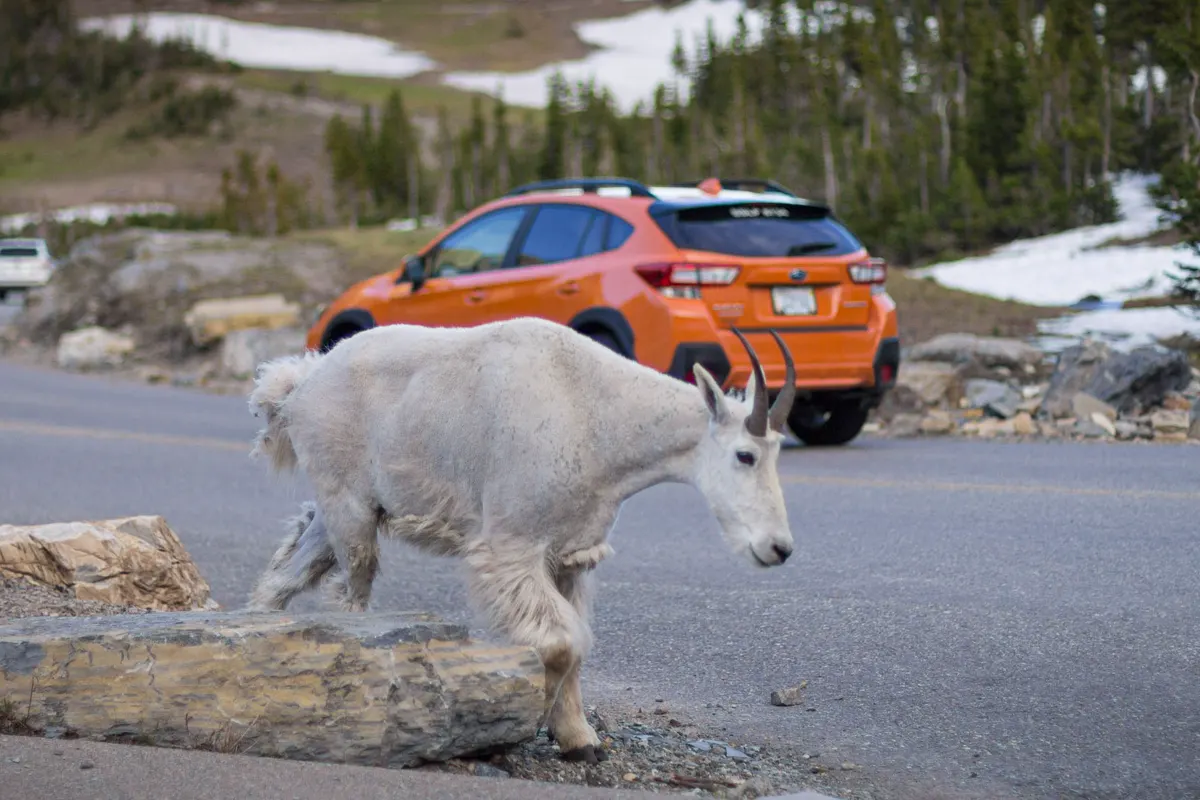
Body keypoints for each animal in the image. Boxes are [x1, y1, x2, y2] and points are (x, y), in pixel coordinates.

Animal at [245, 316, 797, 764]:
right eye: (745, 455)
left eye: (778, 452)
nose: (779, 548)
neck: (597, 414)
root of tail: (300, 384)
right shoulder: (510, 548)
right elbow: (561, 643)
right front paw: (526, 725)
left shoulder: (571, 556)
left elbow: (577, 644)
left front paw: (579, 740)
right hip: (351, 507)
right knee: (351, 593)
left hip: (345, 509)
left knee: (289, 569)